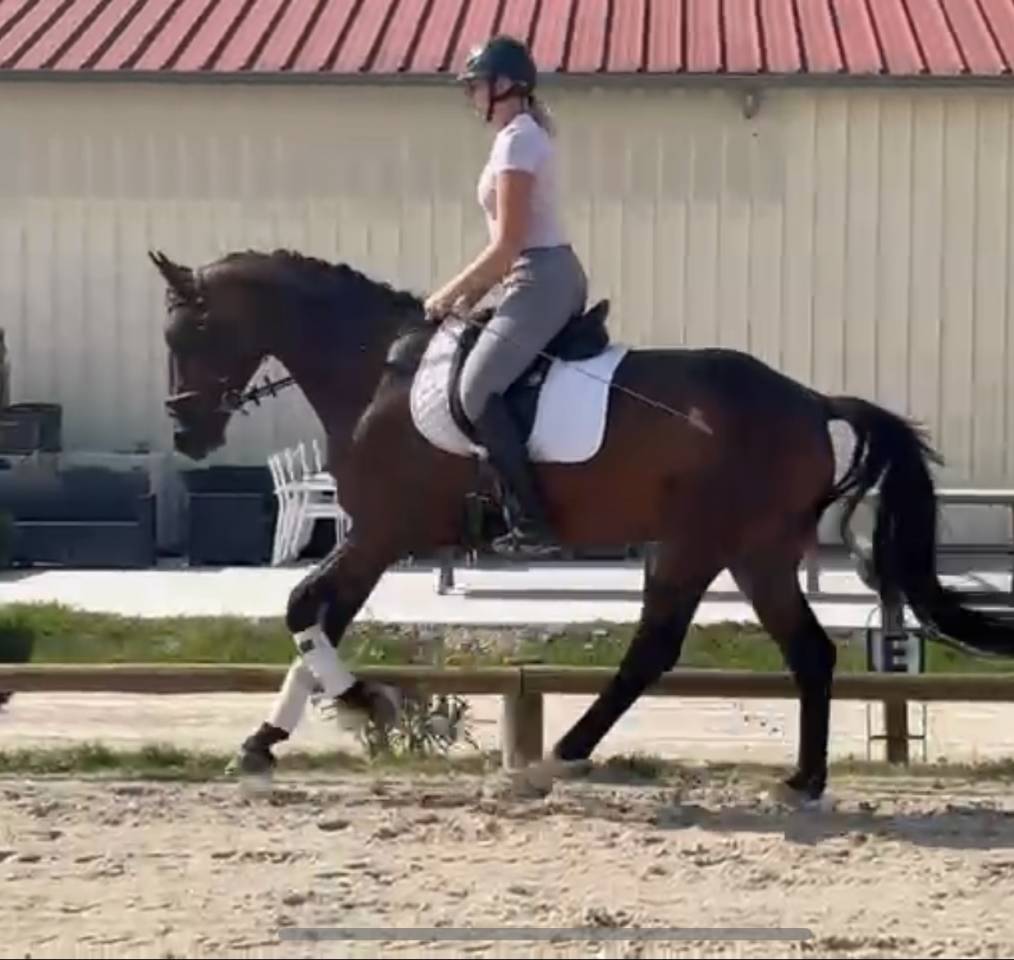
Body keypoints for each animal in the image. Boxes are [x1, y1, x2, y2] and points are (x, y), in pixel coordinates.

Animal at [149, 246, 1014, 802]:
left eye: (188, 334)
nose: (186, 432)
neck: (373, 369)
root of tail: (809, 400)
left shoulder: (380, 531)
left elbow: (304, 609)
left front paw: (368, 704)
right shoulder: (374, 538)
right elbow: (316, 620)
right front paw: (266, 743)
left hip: (703, 543)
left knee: (658, 648)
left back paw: (563, 755)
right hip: (748, 552)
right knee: (804, 652)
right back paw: (803, 778)